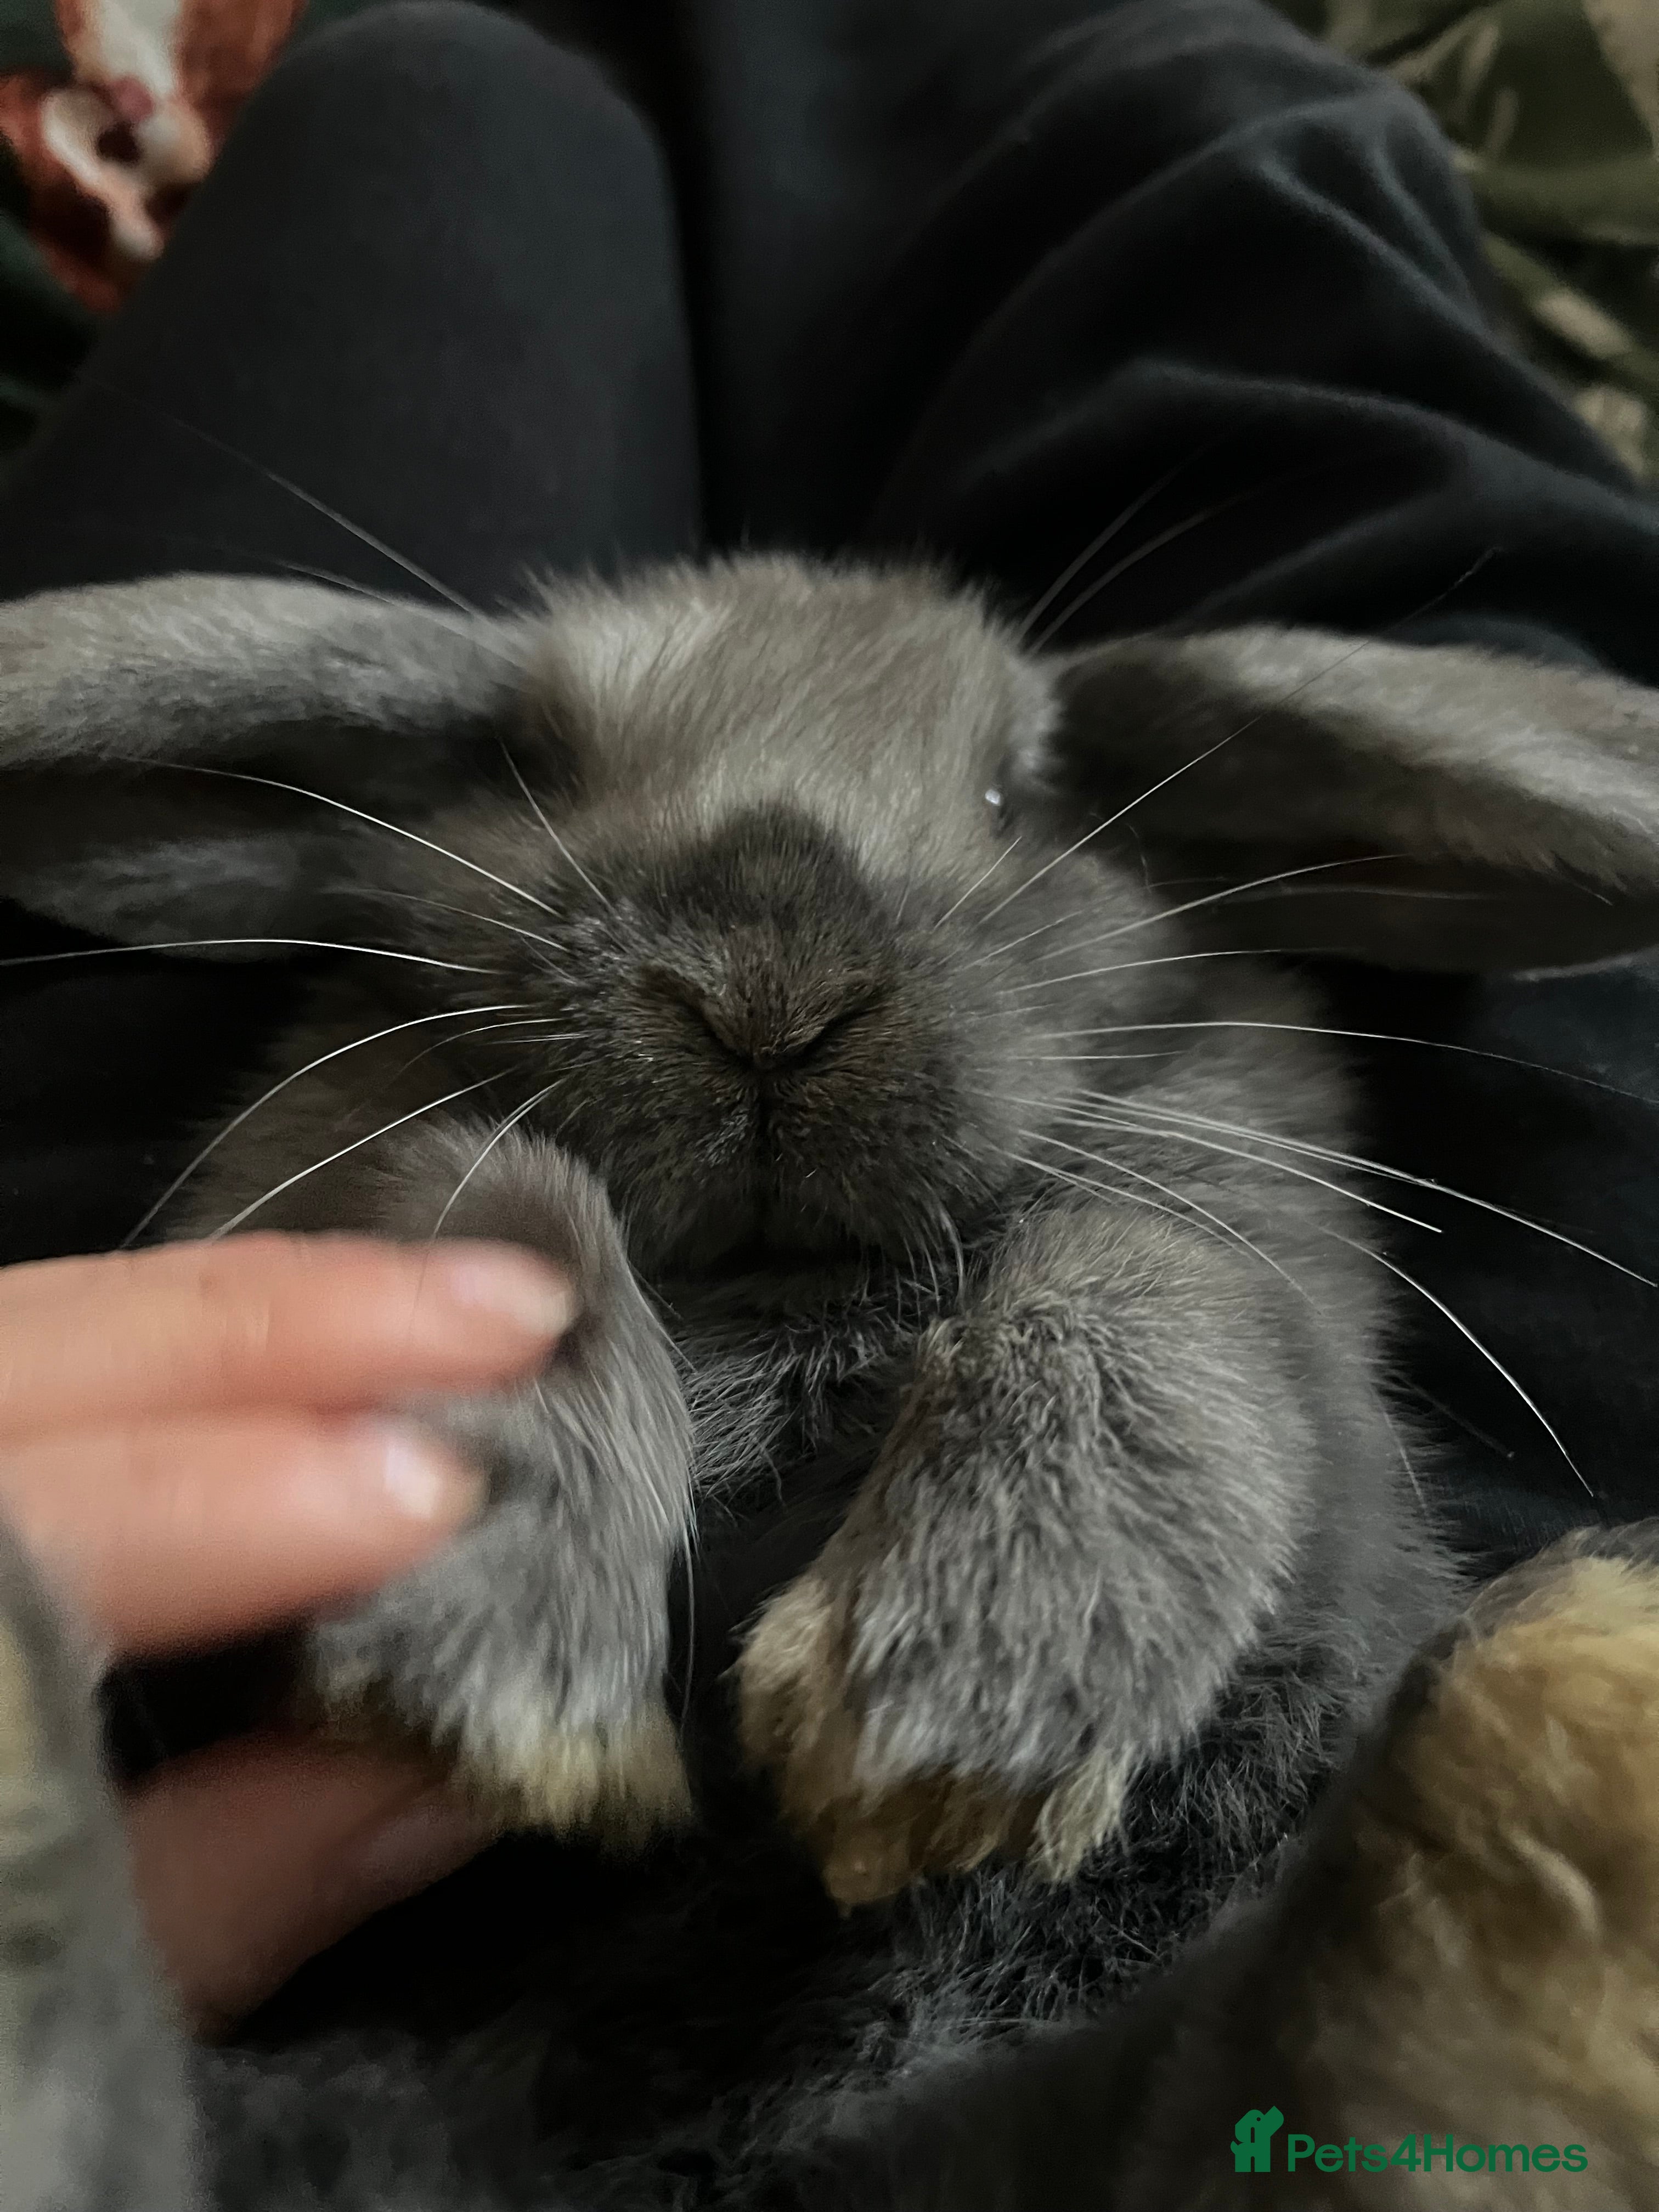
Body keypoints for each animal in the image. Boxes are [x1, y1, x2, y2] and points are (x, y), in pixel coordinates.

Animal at [2, 550, 1659, 2208]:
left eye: (1018, 795)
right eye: (539, 764)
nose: (766, 996)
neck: (784, 1293)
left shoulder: (1285, 1339)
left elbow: (1149, 1272)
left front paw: (958, 1699)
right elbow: (495, 1197)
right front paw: (507, 1645)